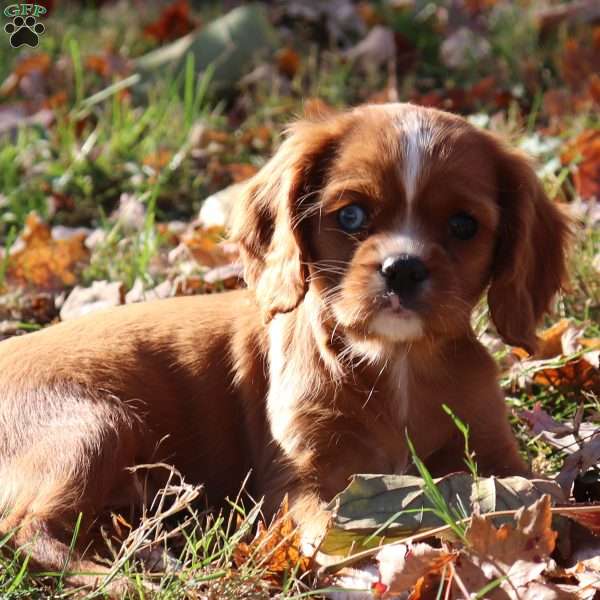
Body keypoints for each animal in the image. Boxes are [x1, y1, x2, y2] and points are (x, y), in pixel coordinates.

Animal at [0, 104, 568, 584]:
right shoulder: (298, 478)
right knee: (28, 530)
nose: (403, 269)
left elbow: (548, 502)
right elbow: (324, 529)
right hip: (96, 427)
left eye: (463, 225)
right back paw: (128, 577)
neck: (398, 362)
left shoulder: (494, 455)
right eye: (352, 216)